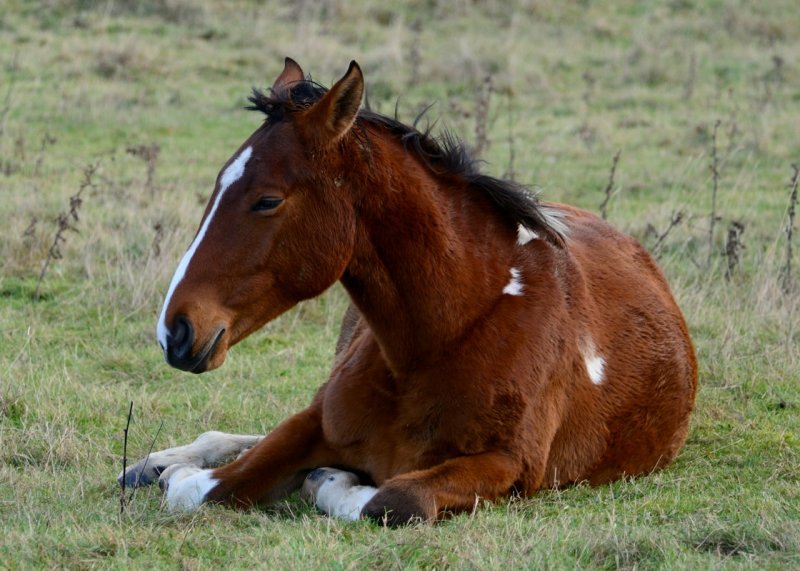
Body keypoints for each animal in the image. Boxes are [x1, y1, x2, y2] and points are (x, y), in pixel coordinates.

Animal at [117, 58, 692, 528]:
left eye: (267, 200)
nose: (175, 331)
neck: (452, 334)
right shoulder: (315, 421)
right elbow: (205, 487)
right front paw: (172, 469)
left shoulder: (510, 466)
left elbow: (393, 500)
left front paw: (332, 479)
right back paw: (154, 463)